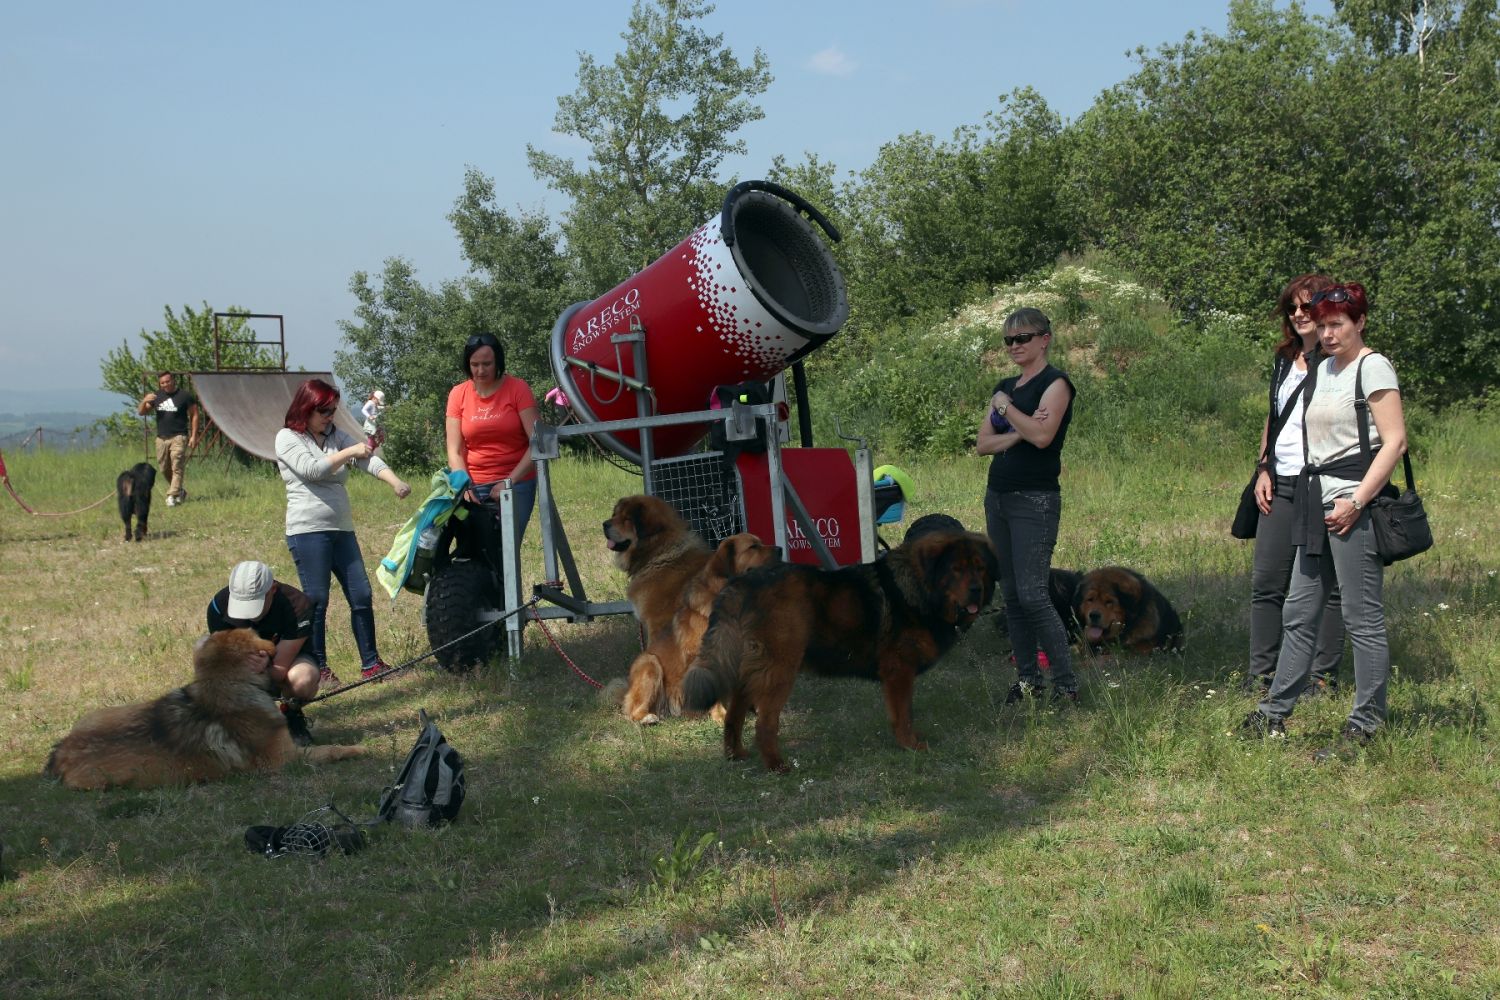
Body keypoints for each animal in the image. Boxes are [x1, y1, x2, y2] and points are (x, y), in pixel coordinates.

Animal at [613, 532, 781, 724]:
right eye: (753, 547)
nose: (781, 550)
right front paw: (721, 714)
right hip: (650, 663)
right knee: (633, 710)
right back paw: (647, 717)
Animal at [682, 530, 997, 772]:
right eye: (956, 569)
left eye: (980, 568)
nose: (976, 589)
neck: (919, 588)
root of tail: (740, 585)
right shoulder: (899, 671)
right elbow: (904, 713)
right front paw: (910, 744)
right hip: (779, 669)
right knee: (765, 724)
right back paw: (776, 766)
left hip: (748, 669)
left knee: (734, 716)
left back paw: (736, 755)